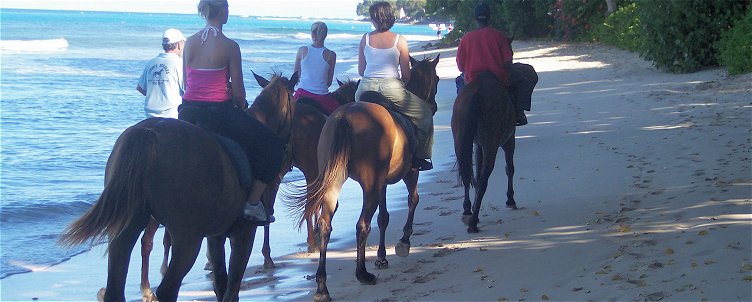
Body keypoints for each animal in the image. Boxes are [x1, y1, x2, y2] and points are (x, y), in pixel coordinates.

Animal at [59, 72, 300, 300]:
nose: (289, 156)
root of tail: (149, 133)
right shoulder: (243, 234)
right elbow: (231, 290)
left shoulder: (216, 235)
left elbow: (221, 284)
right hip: (187, 238)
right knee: (167, 289)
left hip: (127, 227)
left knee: (117, 286)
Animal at [290, 55, 440, 300]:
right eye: (436, 79)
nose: (434, 107)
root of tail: (344, 117)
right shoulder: (410, 172)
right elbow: (412, 201)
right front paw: (403, 242)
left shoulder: (382, 184)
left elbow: (385, 217)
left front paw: (381, 256)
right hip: (370, 185)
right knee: (362, 224)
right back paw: (362, 273)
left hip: (334, 183)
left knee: (325, 224)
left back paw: (322, 286)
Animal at [450, 71, 520, 234]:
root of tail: (476, 94)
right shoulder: (509, 140)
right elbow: (510, 168)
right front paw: (510, 199)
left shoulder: (478, 145)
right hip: (491, 143)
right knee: (483, 179)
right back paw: (473, 222)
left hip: (460, 140)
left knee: (467, 174)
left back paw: (468, 211)